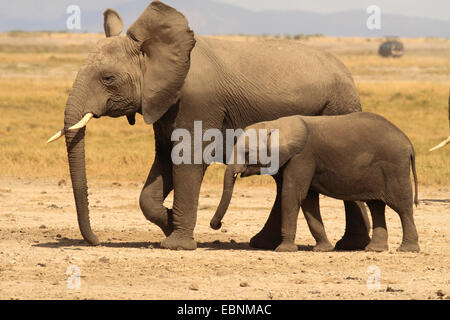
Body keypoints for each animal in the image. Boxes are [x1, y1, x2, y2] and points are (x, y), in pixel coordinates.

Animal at [48, 0, 370, 250]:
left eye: (108, 79)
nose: (95, 241)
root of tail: (349, 75)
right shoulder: (164, 103)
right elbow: (161, 165)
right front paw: (168, 221)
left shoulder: (195, 102)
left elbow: (186, 159)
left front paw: (176, 242)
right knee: (284, 179)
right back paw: (265, 244)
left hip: (337, 108)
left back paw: (350, 246)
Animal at [210, 112, 418, 252]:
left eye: (247, 153)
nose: (217, 225)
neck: (276, 125)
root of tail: (409, 144)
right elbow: (308, 201)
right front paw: (323, 249)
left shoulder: (302, 157)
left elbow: (292, 194)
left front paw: (284, 250)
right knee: (376, 206)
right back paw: (375, 249)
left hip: (395, 167)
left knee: (402, 207)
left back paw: (407, 249)